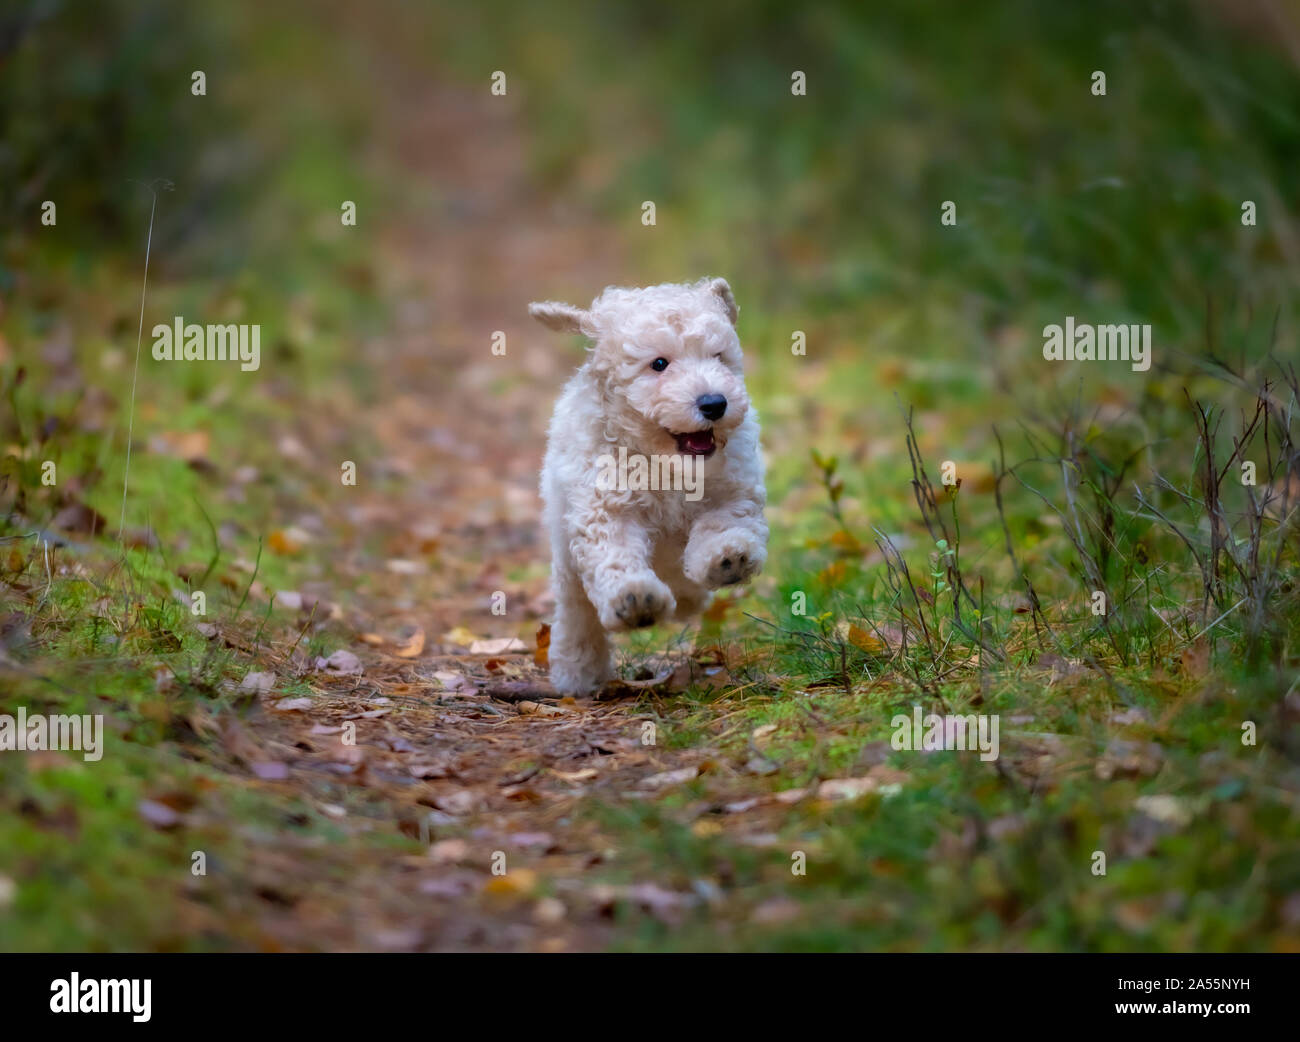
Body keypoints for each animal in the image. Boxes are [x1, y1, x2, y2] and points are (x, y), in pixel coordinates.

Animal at [533, 280, 764, 696]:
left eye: (718, 357)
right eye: (659, 364)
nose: (714, 402)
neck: (664, 463)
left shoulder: (734, 486)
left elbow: (724, 521)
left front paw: (728, 557)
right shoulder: (604, 508)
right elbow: (616, 558)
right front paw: (635, 598)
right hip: (565, 555)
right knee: (577, 612)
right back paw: (578, 670)